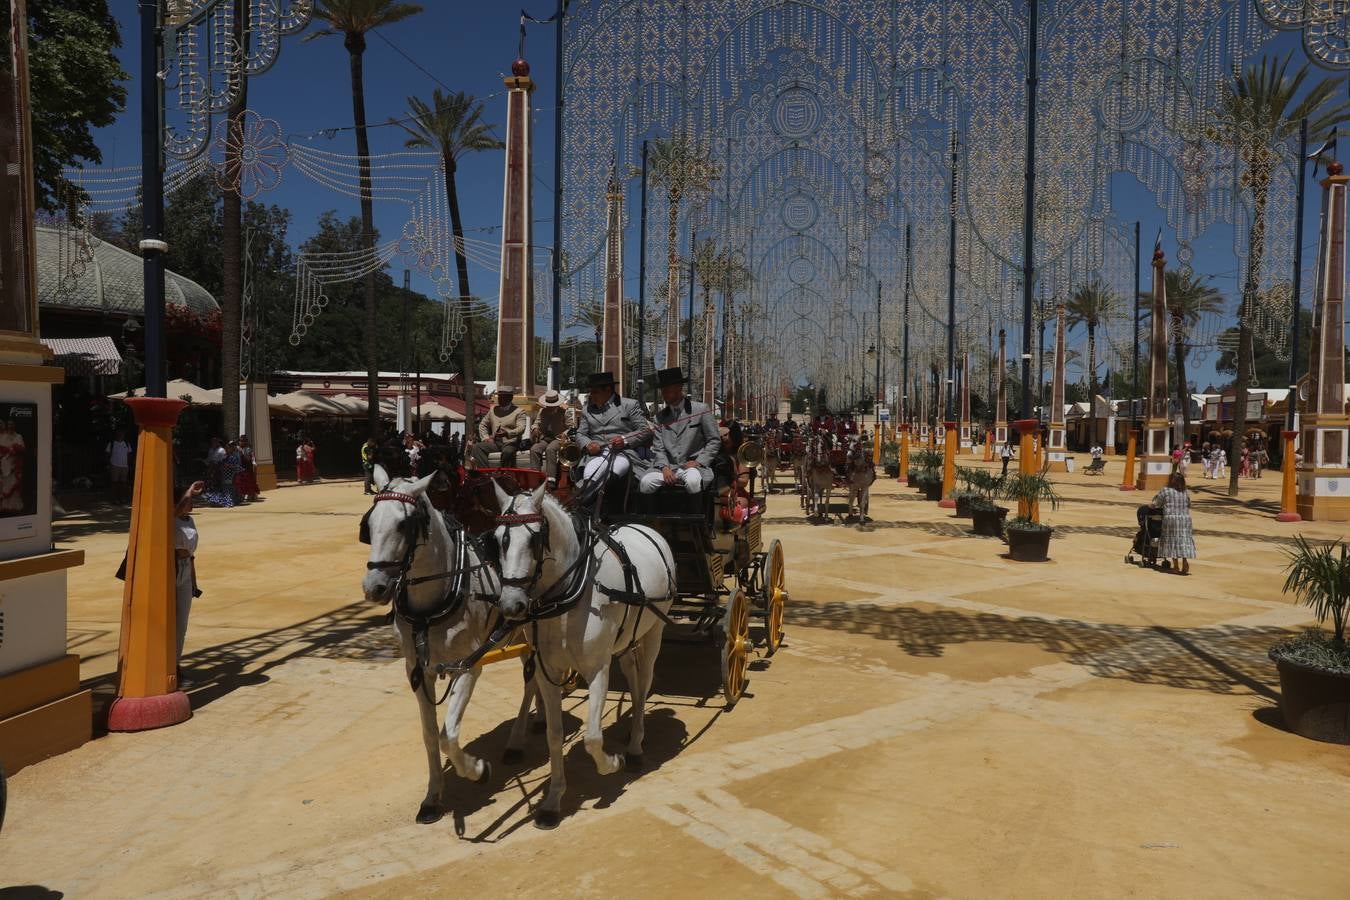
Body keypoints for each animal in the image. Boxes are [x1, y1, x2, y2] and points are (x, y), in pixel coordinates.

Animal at [364, 469, 537, 825]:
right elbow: (431, 735)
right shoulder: (417, 671)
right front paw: (432, 797)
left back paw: (517, 740)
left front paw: (477, 770)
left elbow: (449, 735)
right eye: (369, 522)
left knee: (533, 679)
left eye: (404, 525)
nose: (374, 587)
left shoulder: (468, 667)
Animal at [491, 485, 675, 831]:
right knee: (633, 678)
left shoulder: (598, 670)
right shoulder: (548, 671)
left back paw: (634, 747)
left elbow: (592, 737)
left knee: (645, 681)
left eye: (535, 539)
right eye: (497, 540)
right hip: (626, 639)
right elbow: (554, 735)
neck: (570, 594)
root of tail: (645, 527)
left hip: (655, 630)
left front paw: (612, 763)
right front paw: (552, 802)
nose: (511, 605)